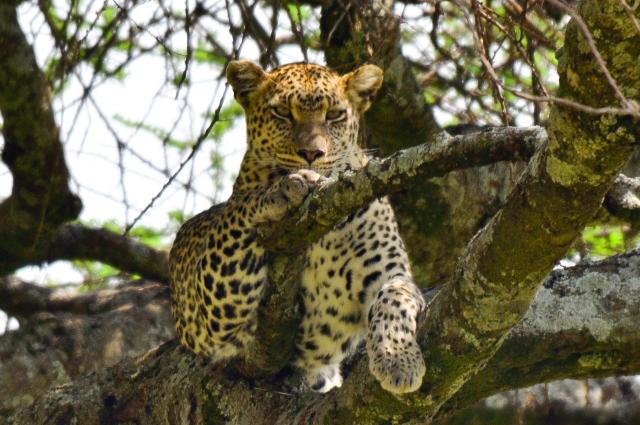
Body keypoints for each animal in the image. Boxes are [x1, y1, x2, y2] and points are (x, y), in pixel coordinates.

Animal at [169, 60, 426, 394]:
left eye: (334, 115)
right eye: (282, 113)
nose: (311, 154)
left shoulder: (387, 272)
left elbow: (395, 297)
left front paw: (399, 360)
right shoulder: (214, 309)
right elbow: (241, 207)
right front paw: (286, 187)